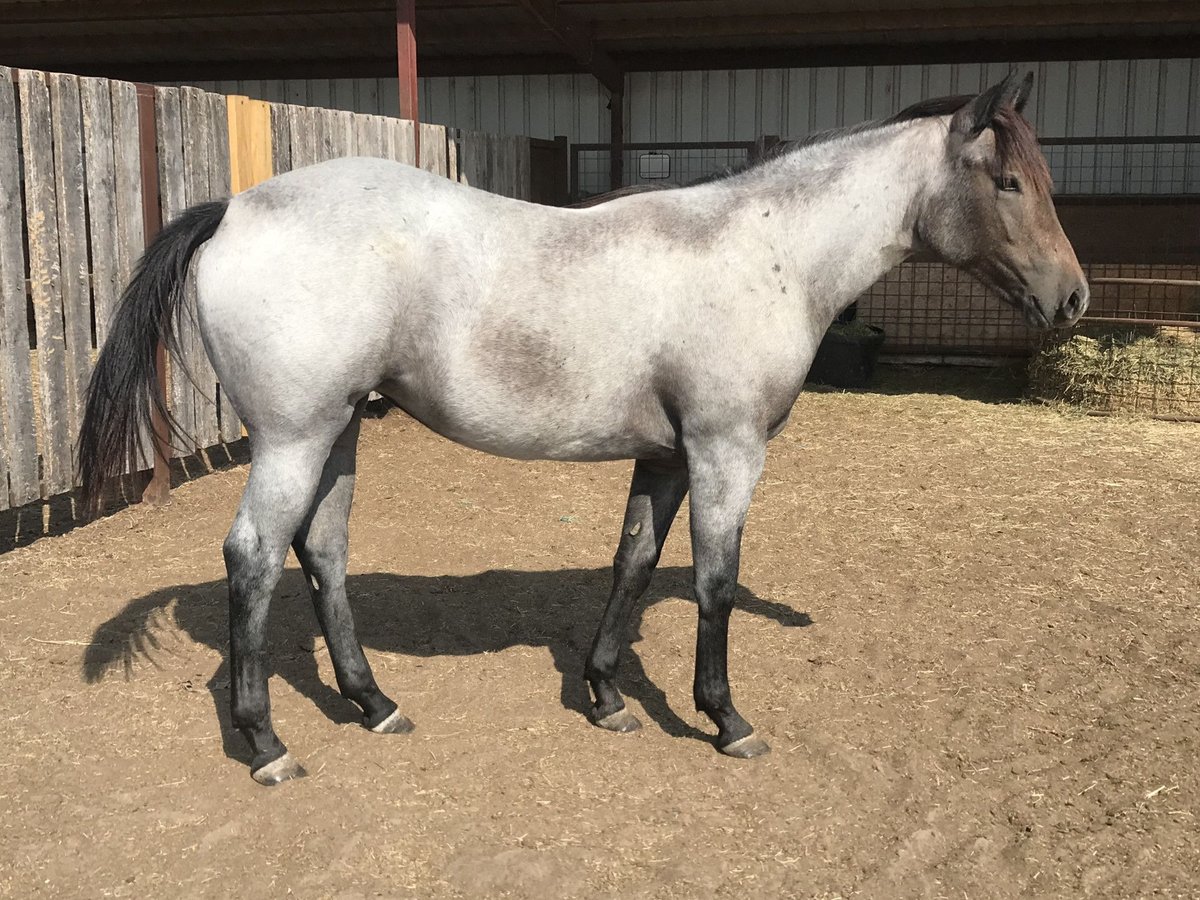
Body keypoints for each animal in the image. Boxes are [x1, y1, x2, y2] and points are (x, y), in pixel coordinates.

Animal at [75, 70, 1089, 787]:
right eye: (1007, 182)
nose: (1073, 298)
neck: (766, 249)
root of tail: (235, 209)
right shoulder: (726, 451)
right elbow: (717, 583)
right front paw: (725, 719)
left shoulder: (667, 457)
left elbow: (634, 563)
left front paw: (605, 695)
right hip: (293, 438)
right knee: (253, 559)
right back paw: (266, 744)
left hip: (337, 435)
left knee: (321, 552)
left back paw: (374, 703)